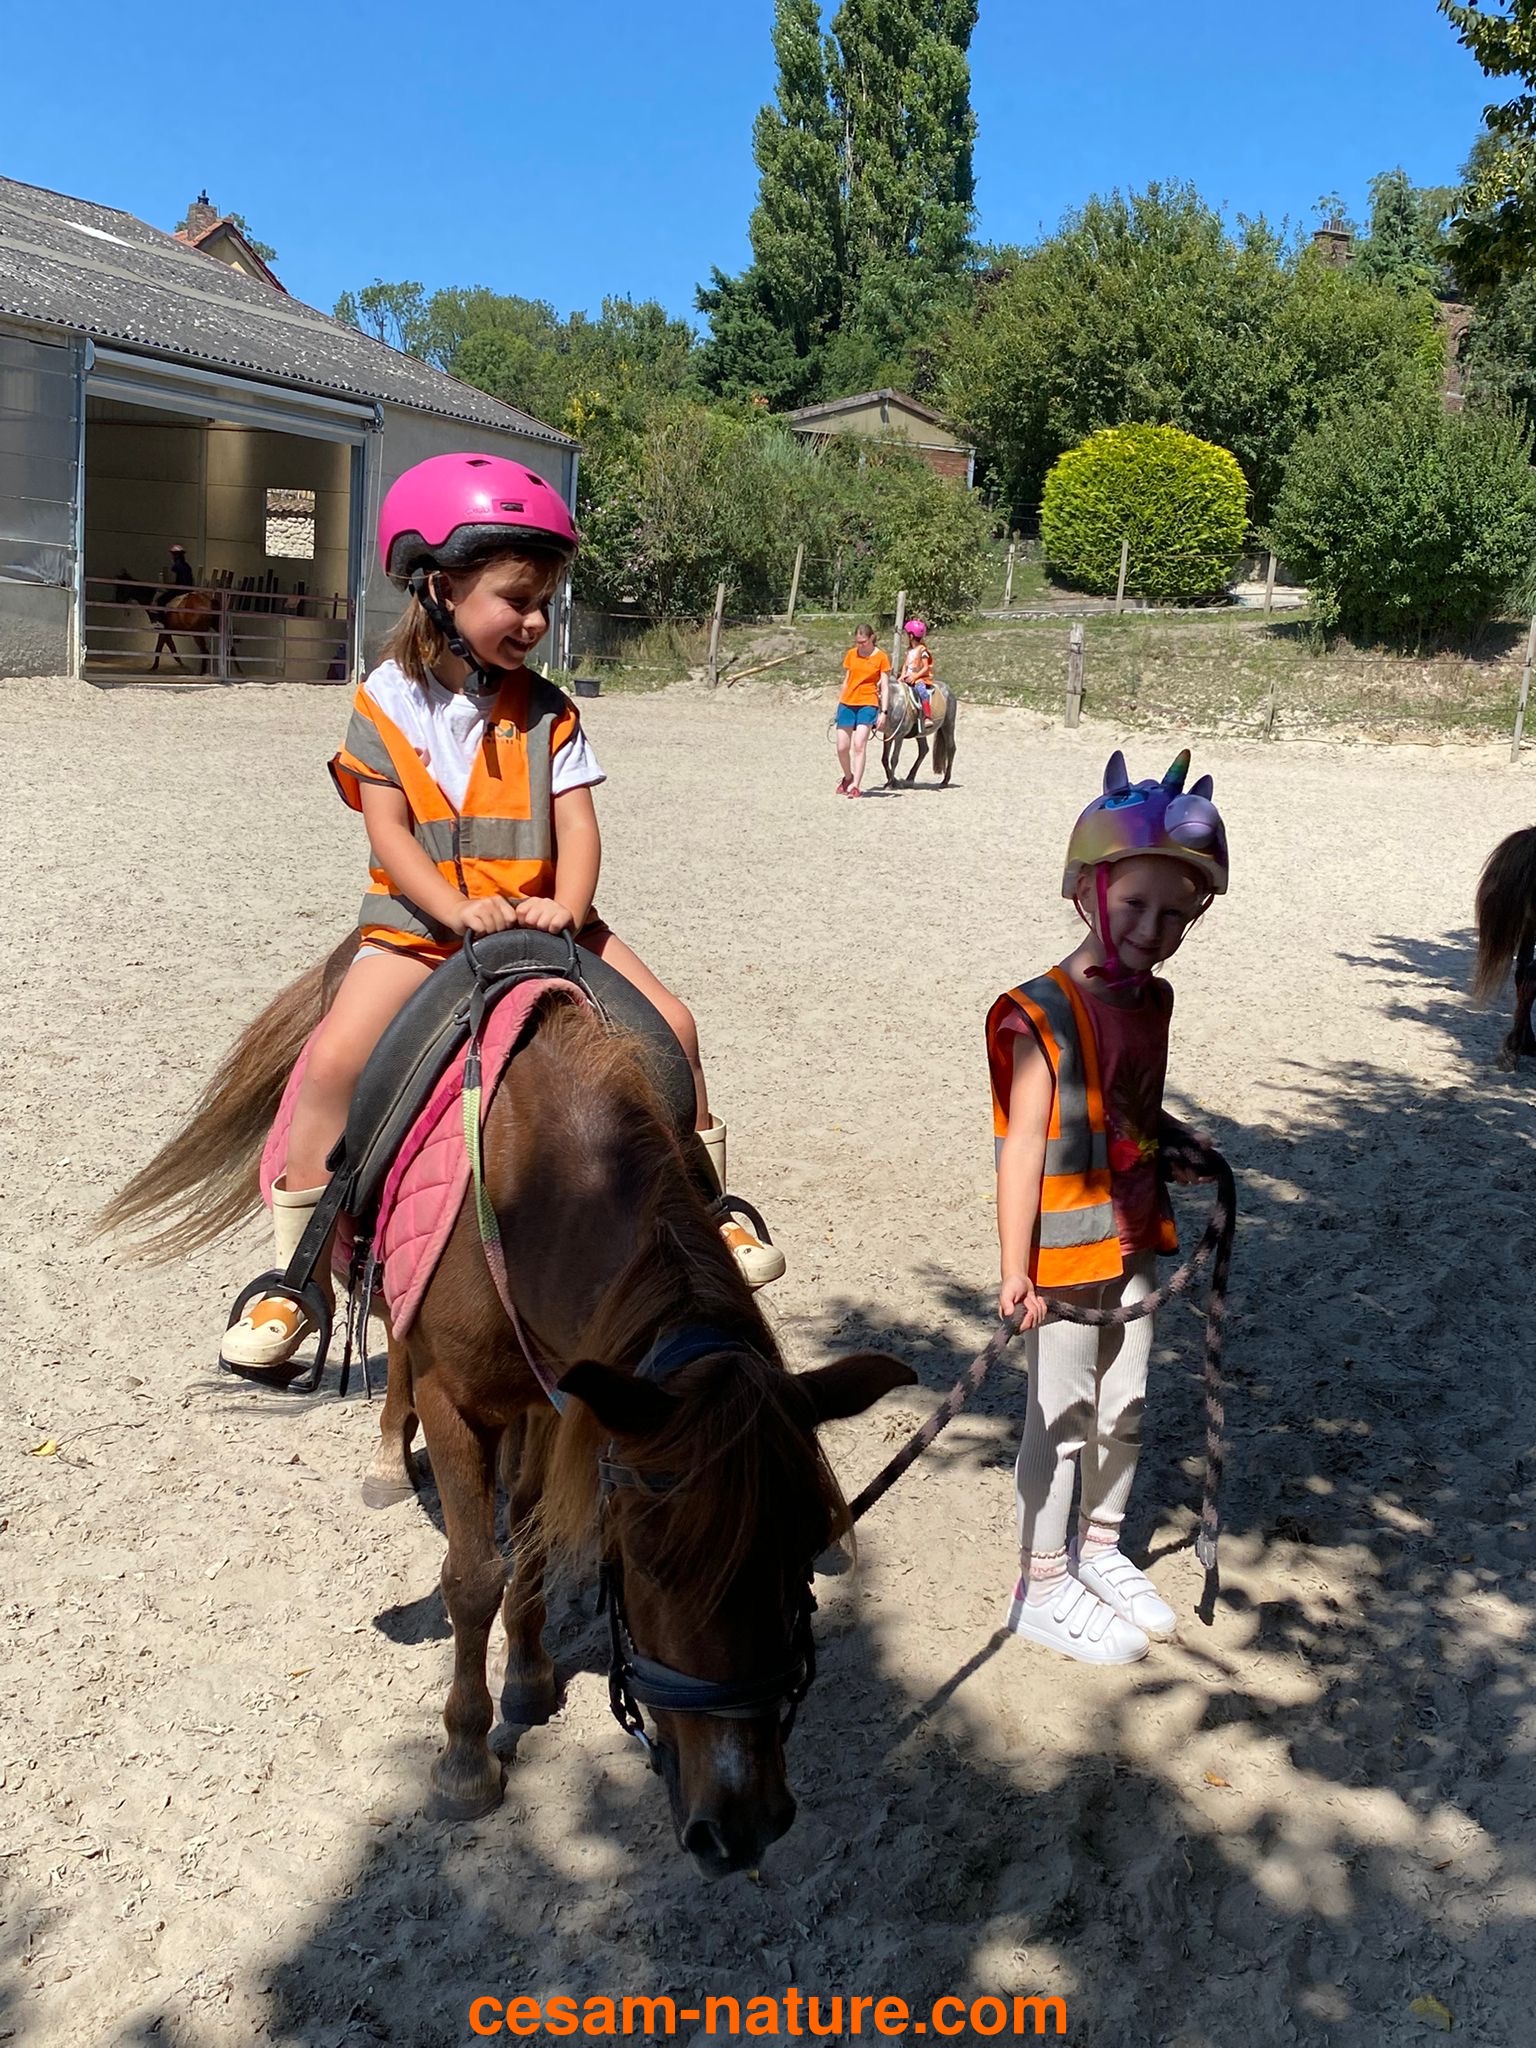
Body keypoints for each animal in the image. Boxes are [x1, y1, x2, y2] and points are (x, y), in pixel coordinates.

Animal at [100, 940, 914, 1875]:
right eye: (645, 1562)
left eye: (804, 1545)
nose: (743, 1823)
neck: (539, 1185)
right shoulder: (459, 1405)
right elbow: (472, 1574)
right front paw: (464, 1757)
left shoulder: (566, 1394)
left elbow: (530, 1535)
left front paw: (529, 1675)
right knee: (395, 1341)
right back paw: (383, 1452)